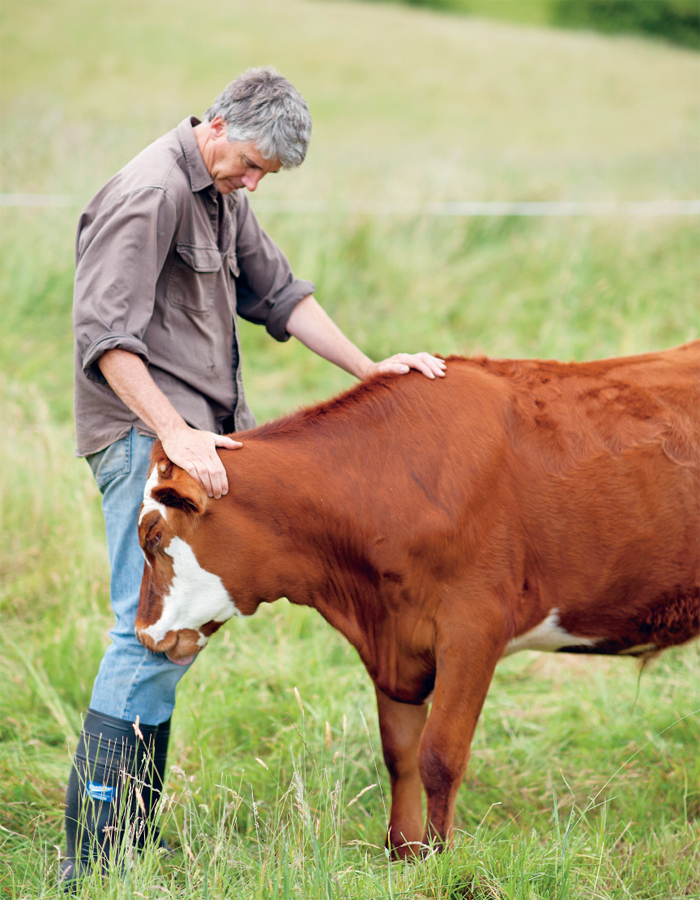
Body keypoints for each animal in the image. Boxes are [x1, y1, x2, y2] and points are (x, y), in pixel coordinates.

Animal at [134, 340, 696, 856]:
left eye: (152, 536)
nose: (144, 633)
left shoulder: (474, 630)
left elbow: (440, 755)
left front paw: (441, 859)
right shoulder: (396, 640)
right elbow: (400, 754)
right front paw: (403, 851)